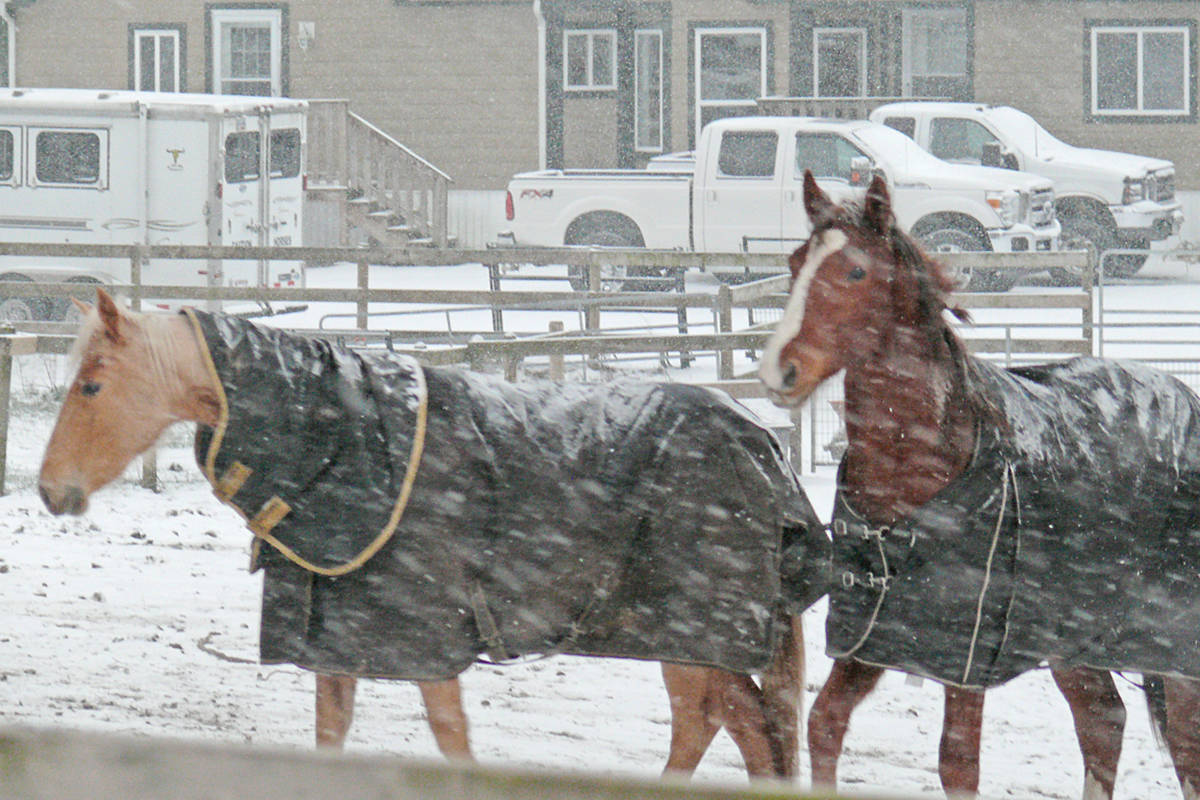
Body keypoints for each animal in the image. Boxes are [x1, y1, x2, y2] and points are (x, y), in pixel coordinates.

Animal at [39, 289, 825, 782]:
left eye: (91, 386)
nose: (51, 491)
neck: (342, 437)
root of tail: (764, 443)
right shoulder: (342, 638)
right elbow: (332, 734)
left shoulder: (426, 639)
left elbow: (451, 738)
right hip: (682, 639)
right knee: (717, 726)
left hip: (696, 633)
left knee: (744, 729)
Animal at [753, 172, 1200, 796]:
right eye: (796, 262)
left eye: (856, 271)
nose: (779, 370)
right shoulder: (871, 637)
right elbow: (823, 725)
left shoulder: (964, 662)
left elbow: (958, 763)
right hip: (1073, 638)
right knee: (1103, 722)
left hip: (1173, 648)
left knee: (1183, 740)